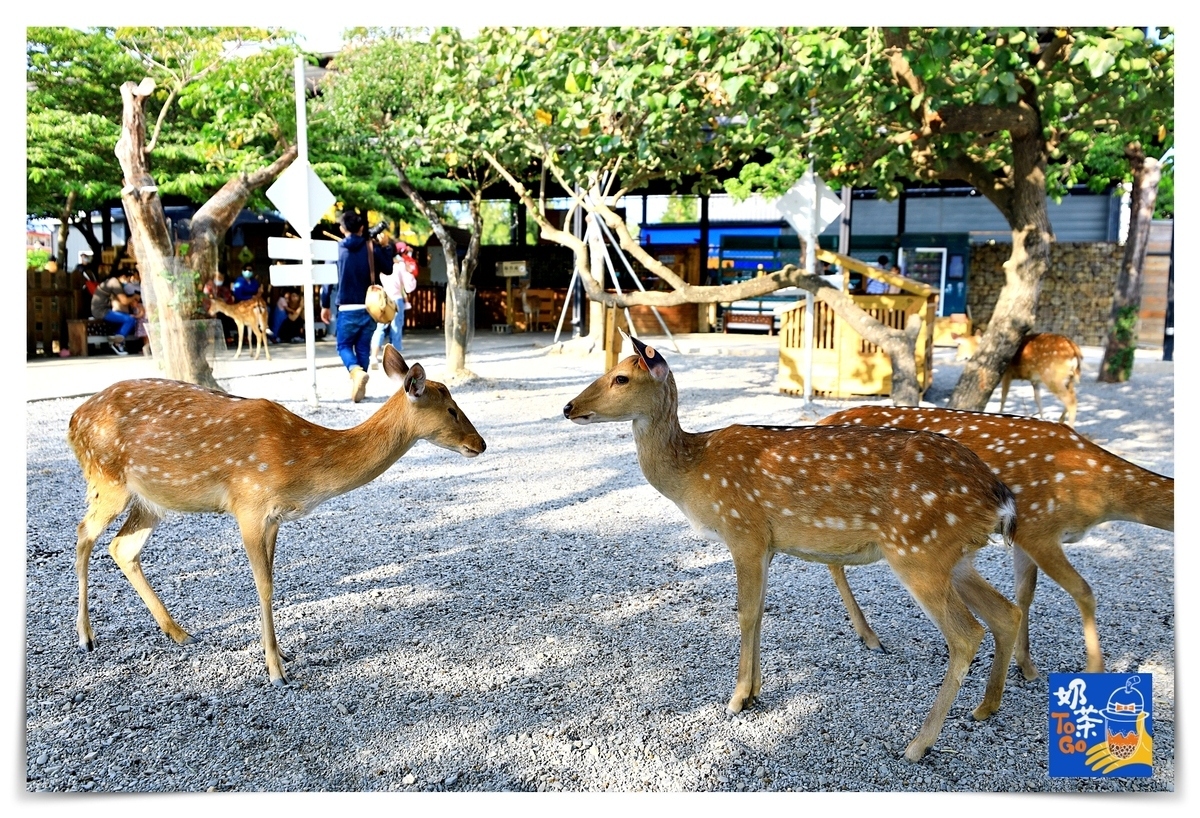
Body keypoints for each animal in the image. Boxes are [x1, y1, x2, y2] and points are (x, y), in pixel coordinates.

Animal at [65, 343, 484, 681]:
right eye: (451, 410)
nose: (480, 444)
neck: (302, 463)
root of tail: (73, 421)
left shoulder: (275, 518)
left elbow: (271, 580)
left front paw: (282, 655)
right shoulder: (249, 503)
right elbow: (263, 585)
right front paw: (274, 670)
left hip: (151, 499)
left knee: (122, 547)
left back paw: (180, 632)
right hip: (107, 479)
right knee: (84, 534)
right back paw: (86, 637)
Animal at [561, 333, 1022, 758]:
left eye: (621, 377)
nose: (568, 407)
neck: (694, 474)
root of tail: (1000, 497)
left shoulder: (742, 530)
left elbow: (745, 613)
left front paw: (736, 700)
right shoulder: (766, 543)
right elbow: (760, 612)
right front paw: (755, 692)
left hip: (918, 549)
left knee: (967, 633)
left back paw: (918, 744)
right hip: (955, 556)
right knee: (1006, 613)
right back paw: (986, 708)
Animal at [816, 405, 1171, 676]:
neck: (1104, 494)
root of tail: (823, 419)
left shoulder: (1026, 536)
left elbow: (1025, 593)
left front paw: (1026, 667)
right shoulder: (1039, 526)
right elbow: (1083, 591)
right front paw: (1092, 670)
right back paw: (870, 636)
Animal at [955, 328, 1089, 426]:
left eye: (960, 346)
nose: (957, 357)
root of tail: (1074, 350)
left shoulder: (1007, 374)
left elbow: (1004, 397)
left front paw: (999, 414)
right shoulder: (1034, 380)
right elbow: (1038, 400)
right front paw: (1043, 419)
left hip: (1052, 376)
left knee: (1071, 401)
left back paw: (1071, 427)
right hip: (1067, 378)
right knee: (1073, 397)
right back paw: (1061, 422)